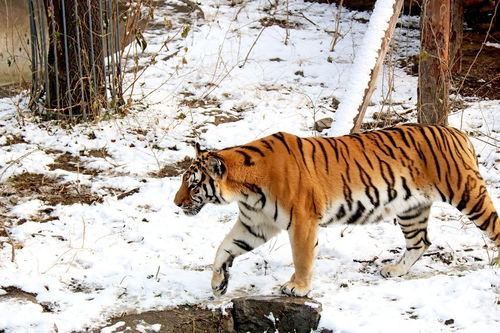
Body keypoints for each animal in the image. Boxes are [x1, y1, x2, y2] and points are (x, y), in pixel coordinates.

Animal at [174, 123, 498, 294]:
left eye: (192, 185)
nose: (175, 203)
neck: (246, 189)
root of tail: (457, 132)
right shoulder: (256, 224)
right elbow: (224, 247)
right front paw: (218, 284)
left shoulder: (302, 221)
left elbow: (302, 258)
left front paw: (298, 287)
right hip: (411, 208)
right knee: (421, 242)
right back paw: (394, 270)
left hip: (467, 193)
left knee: (494, 225)